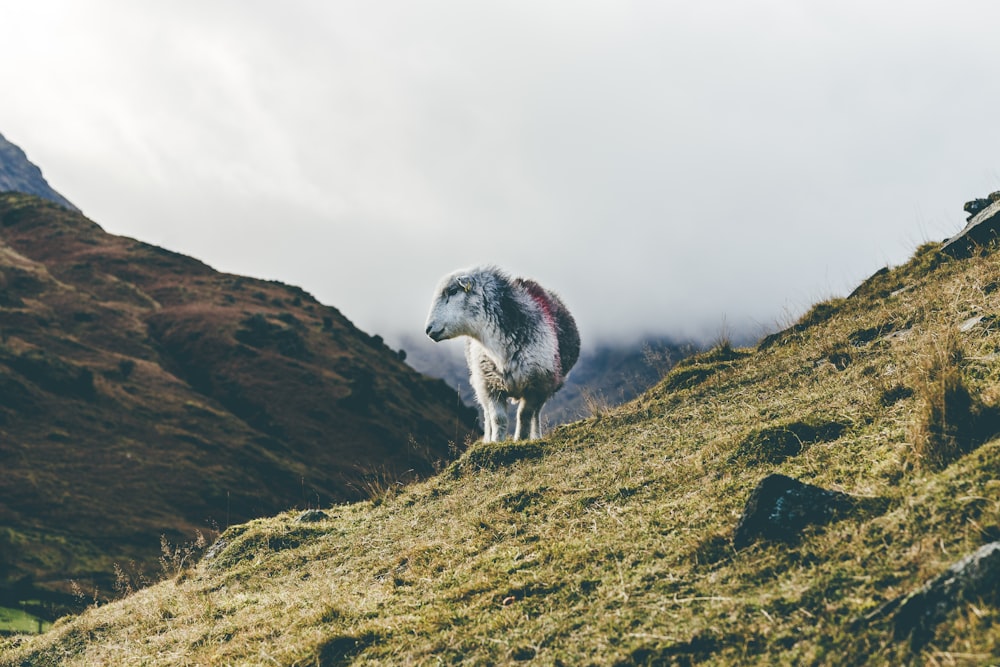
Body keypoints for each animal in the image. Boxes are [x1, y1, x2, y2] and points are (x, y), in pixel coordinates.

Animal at [422, 266, 580, 444]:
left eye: (453, 291)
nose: (428, 329)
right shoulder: (490, 385)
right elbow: (498, 418)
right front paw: (496, 442)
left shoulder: (536, 385)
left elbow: (524, 415)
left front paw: (521, 439)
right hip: (479, 383)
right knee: (487, 414)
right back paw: (487, 439)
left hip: (547, 386)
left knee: (536, 413)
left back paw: (536, 436)